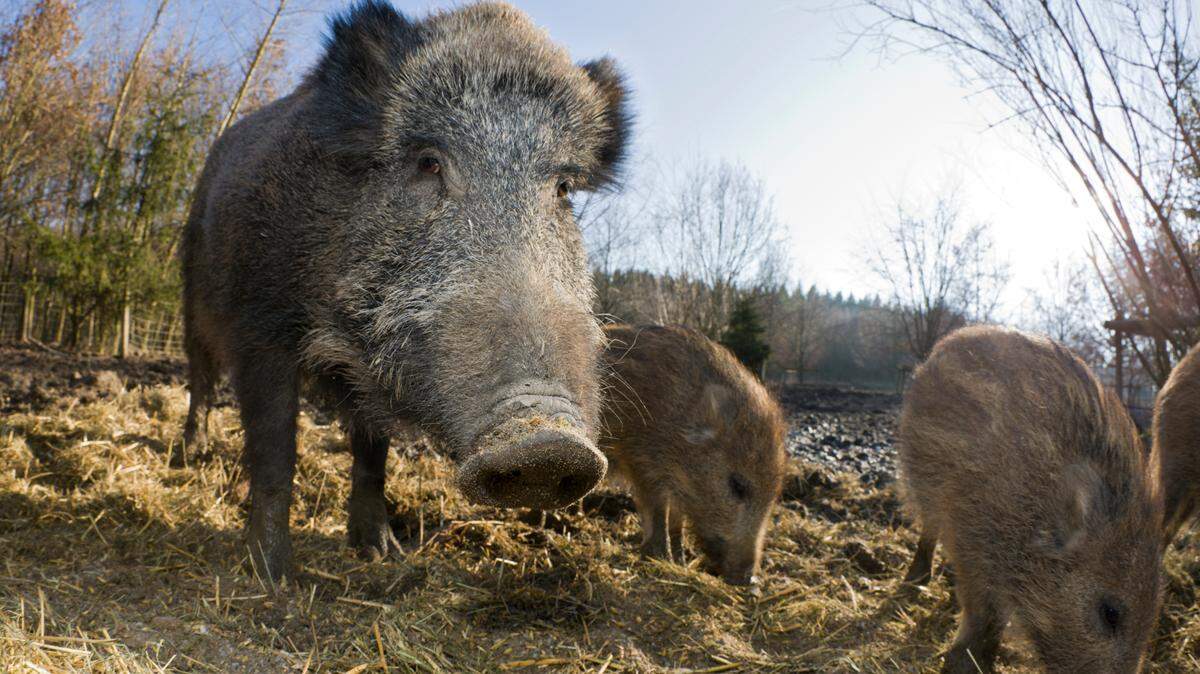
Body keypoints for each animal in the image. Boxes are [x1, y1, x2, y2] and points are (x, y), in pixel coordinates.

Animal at [179, 0, 631, 581]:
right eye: (428, 162)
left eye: (562, 188)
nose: (549, 444)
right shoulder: (261, 326)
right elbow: (276, 452)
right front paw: (274, 577)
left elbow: (373, 455)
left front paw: (380, 552)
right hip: (190, 291)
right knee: (201, 377)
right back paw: (192, 452)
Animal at [599, 324, 786, 585]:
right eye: (737, 485)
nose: (750, 581)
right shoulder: (641, 461)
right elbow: (657, 512)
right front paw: (660, 559)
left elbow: (677, 521)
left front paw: (680, 561)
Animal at [898, 326, 1162, 673]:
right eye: (1110, 613)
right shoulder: (971, 535)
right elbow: (983, 609)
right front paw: (964, 661)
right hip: (920, 477)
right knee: (927, 529)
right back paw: (914, 581)